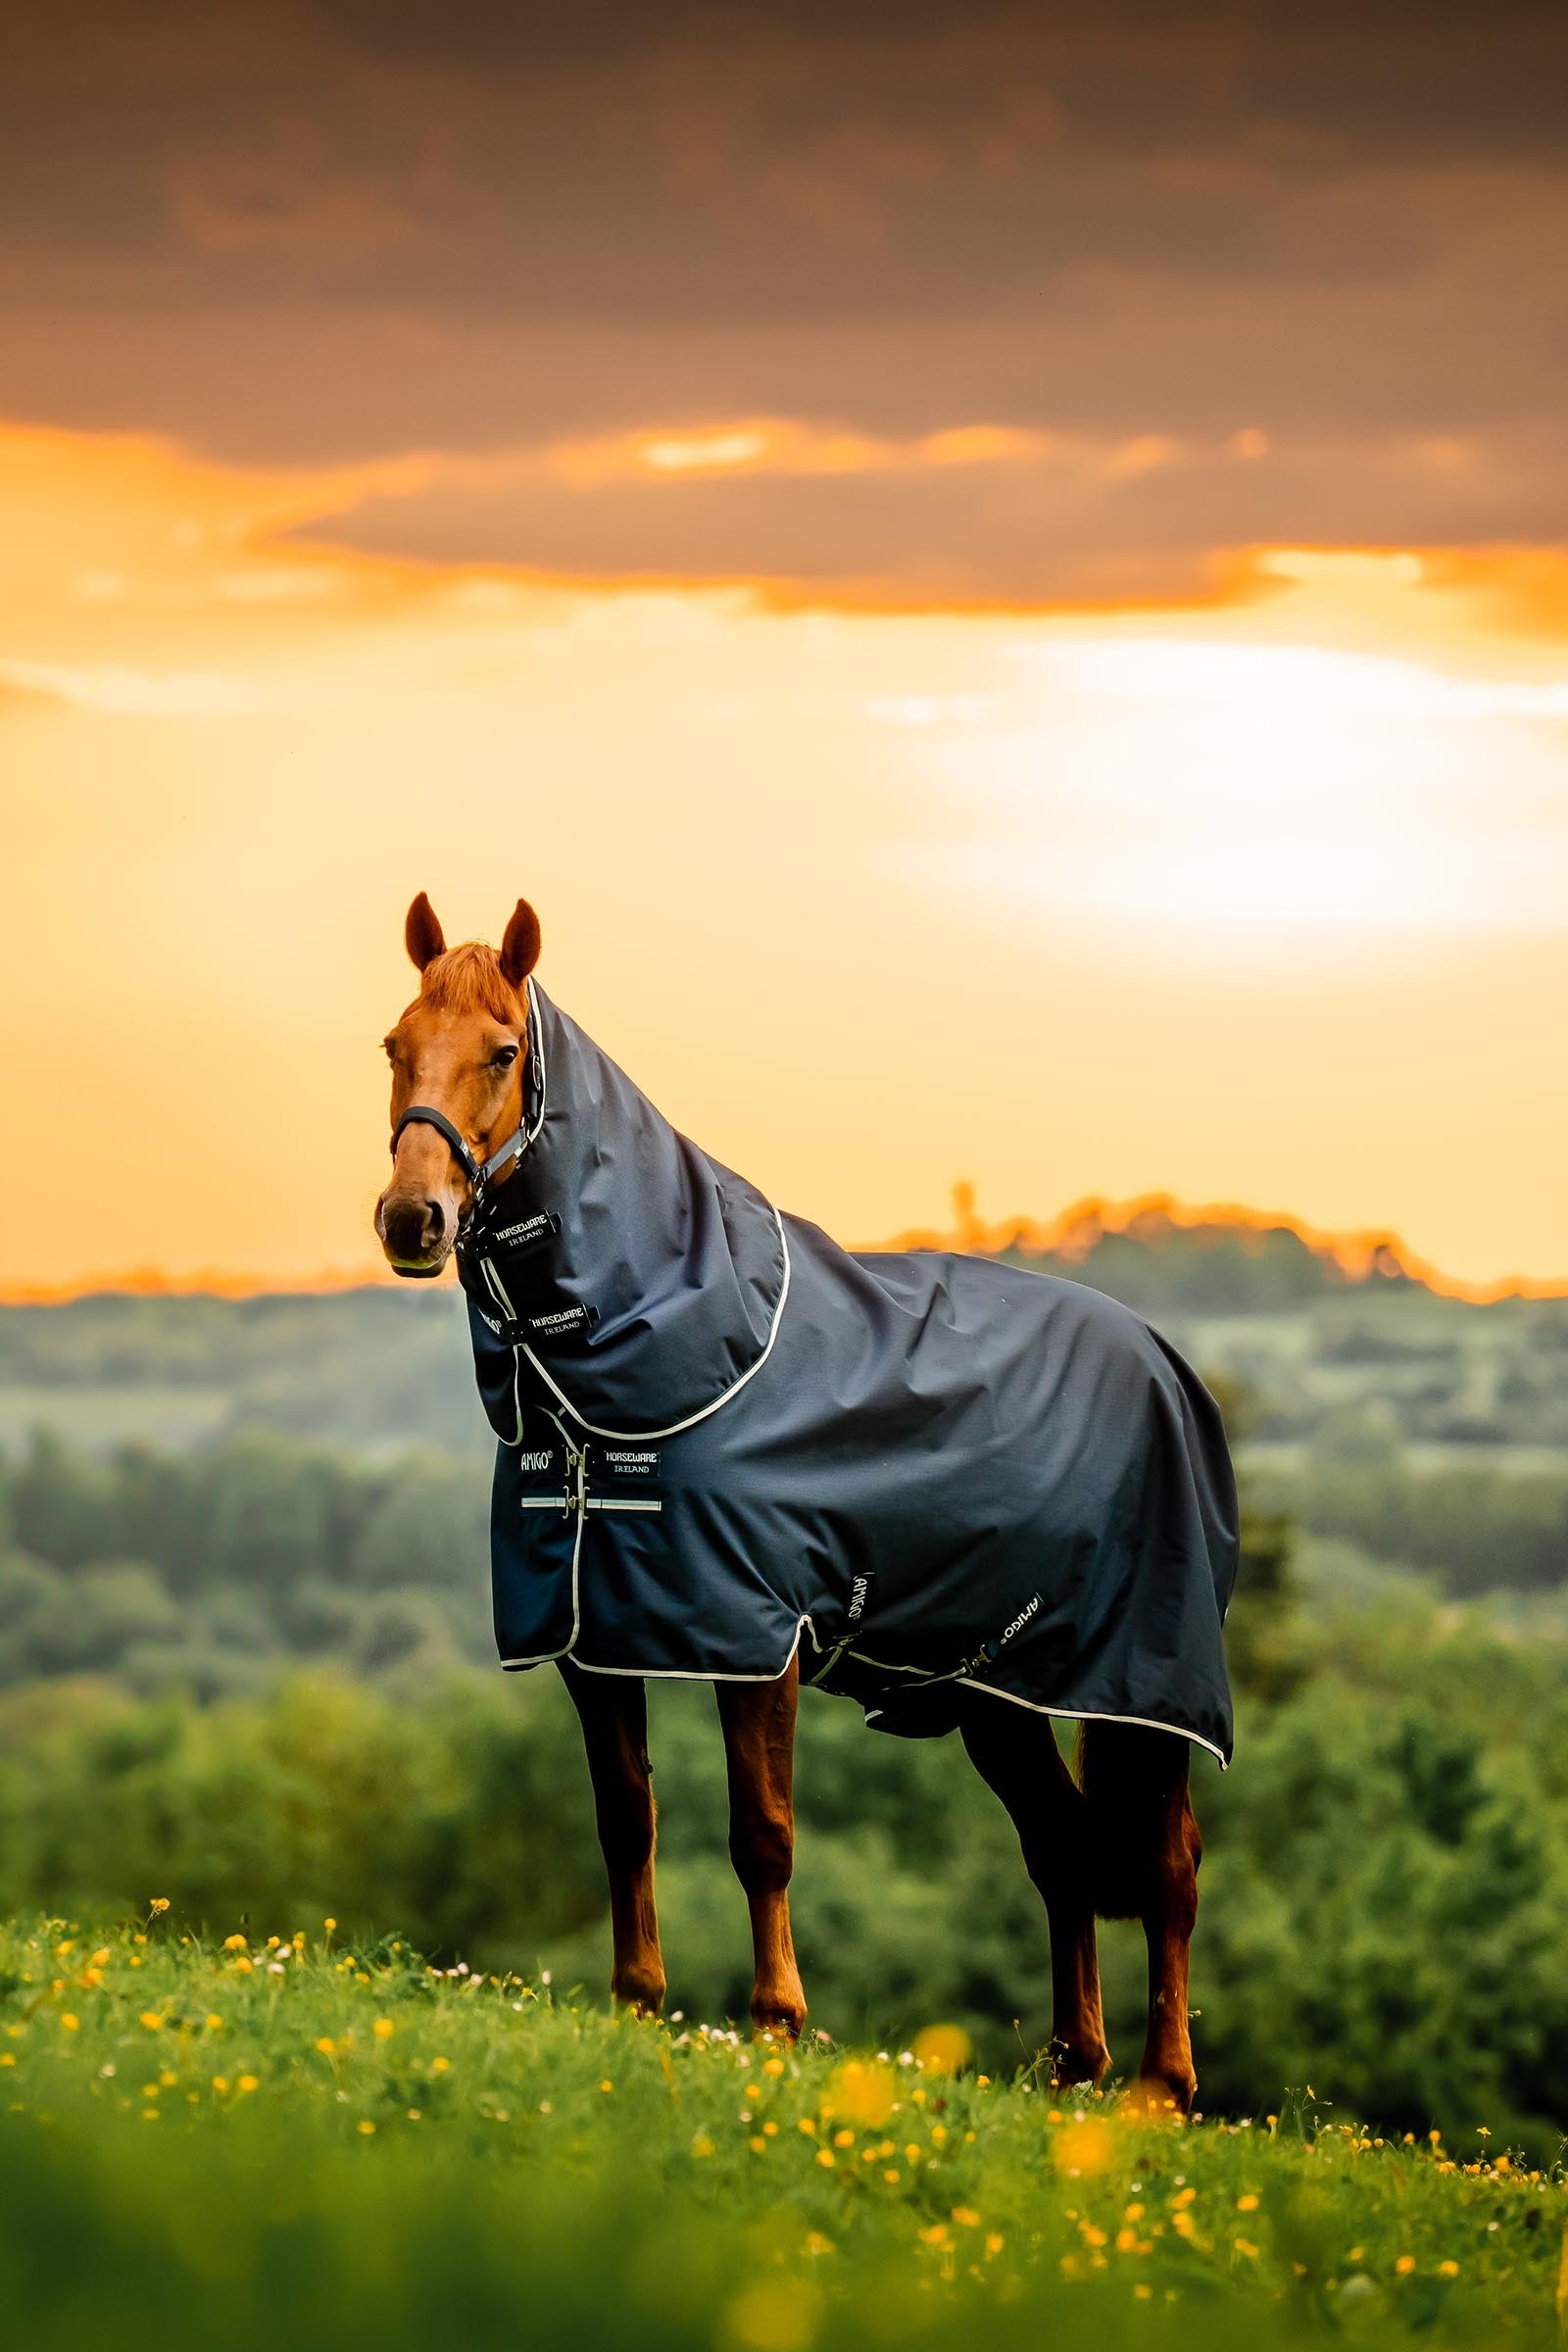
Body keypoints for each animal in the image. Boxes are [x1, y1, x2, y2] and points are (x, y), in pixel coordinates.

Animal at [375, 892, 1237, 2109]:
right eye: (393, 1047)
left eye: (502, 1052)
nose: (412, 1221)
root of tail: (1164, 1363)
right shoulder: (593, 1637)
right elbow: (624, 1819)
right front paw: (636, 2003)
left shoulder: (755, 1636)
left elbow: (762, 1833)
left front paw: (777, 2021)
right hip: (997, 1690)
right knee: (1063, 1848)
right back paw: (1073, 2067)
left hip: (1145, 1684)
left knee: (1167, 1863)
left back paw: (1161, 2085)